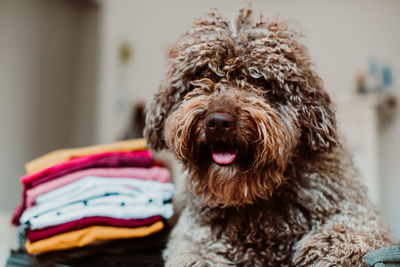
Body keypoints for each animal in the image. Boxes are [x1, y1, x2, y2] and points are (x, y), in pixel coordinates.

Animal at [145, 7, 396, 266]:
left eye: (258, 80)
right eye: (201, 76)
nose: (218, 121)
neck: (255, 195)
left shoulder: (360, 219)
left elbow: (338, 239)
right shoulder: (195, 241)